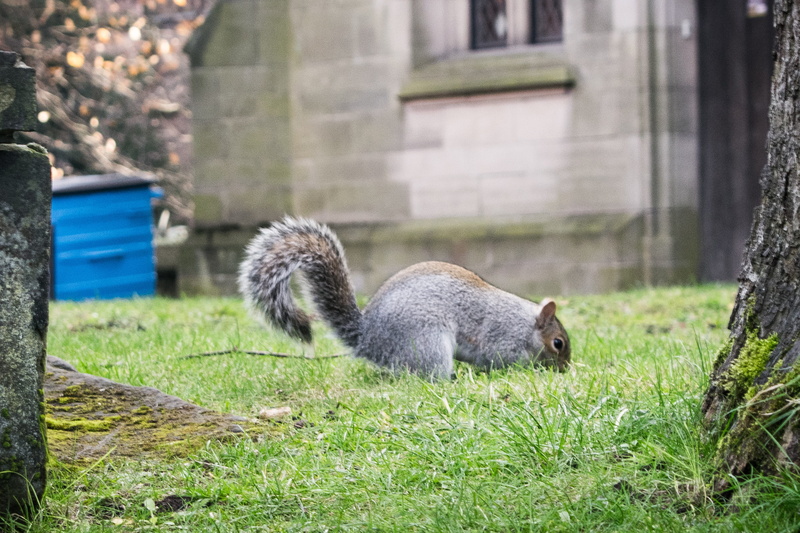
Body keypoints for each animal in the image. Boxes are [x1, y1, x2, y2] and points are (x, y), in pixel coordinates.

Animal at [238, 217, 571, 380]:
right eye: (558, 343)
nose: (566, 368)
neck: (524, 325)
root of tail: (368, 339)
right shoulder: (500, 338)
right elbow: (498, 359)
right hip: (427, 340)